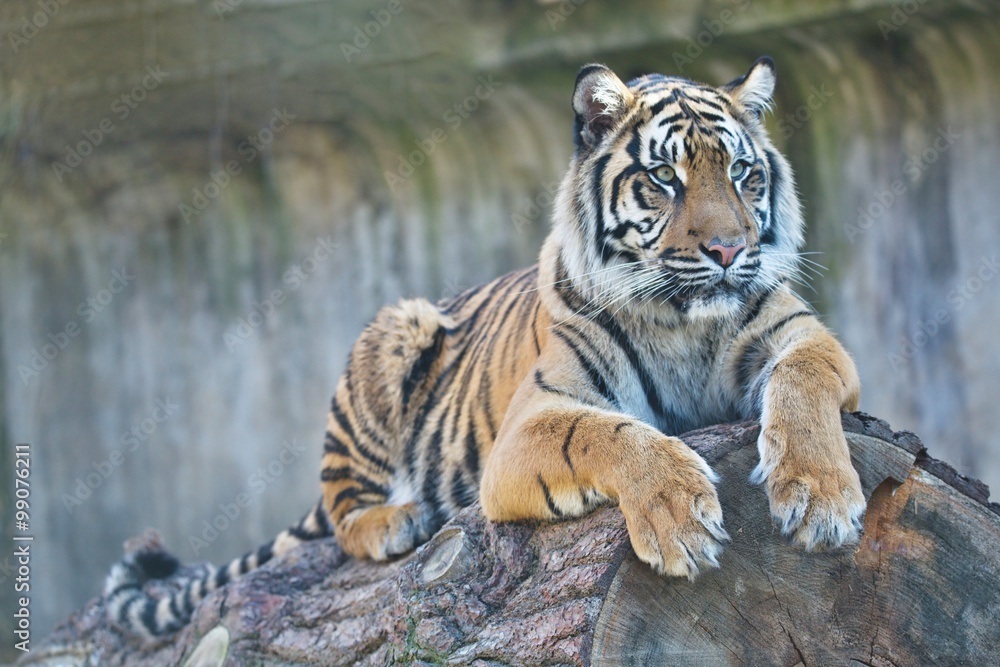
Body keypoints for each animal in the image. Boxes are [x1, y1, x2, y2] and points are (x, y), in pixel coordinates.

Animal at [104, 56, 865, 641]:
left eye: (741, 174)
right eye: (664, 178)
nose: (730, 250)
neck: (682, 323)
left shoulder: (801, 334)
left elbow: (805, 378)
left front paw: (820, 497)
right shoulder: (533, 423)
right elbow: (611, 434)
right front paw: (677, 515)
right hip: (393, 329)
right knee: (342, 507)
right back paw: (394, 521)